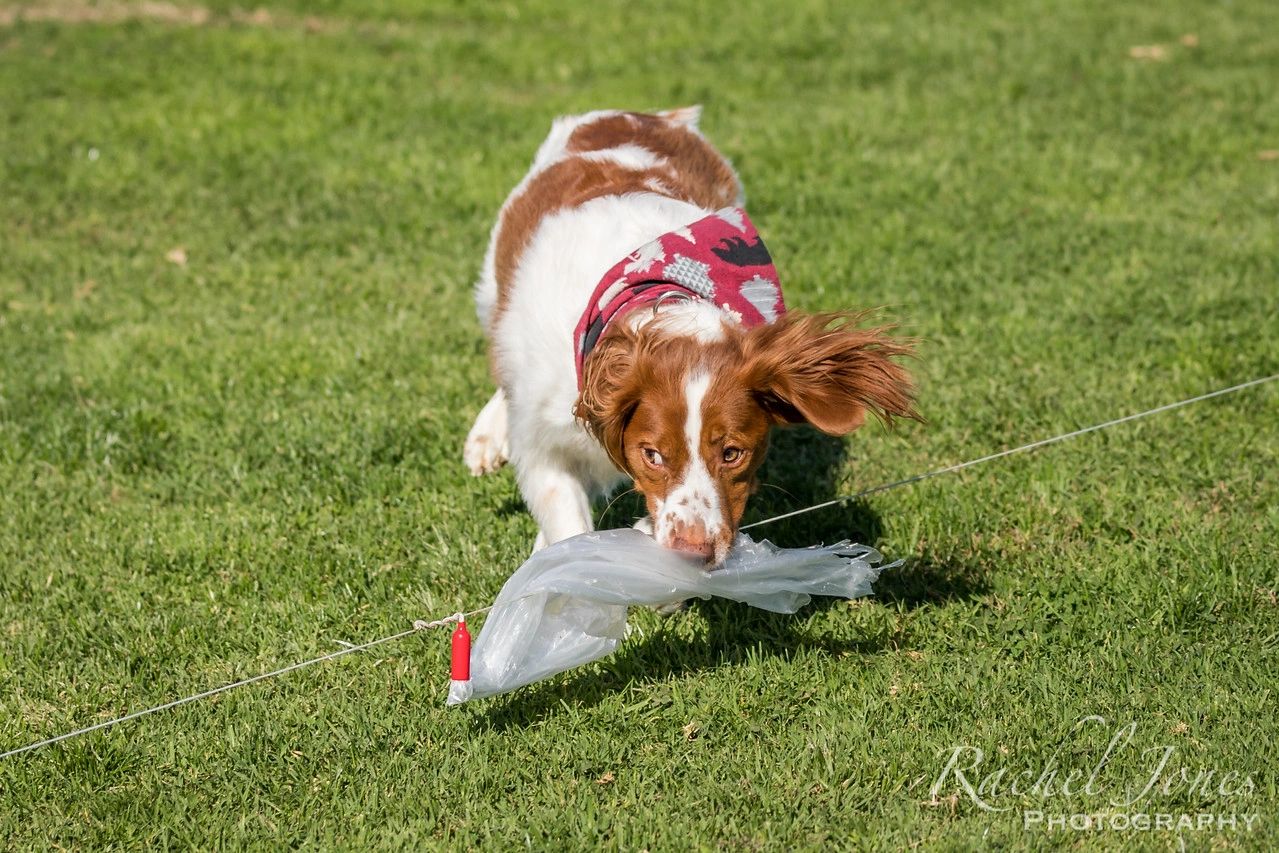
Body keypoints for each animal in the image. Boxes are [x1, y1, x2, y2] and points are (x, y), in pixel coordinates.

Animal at [465, 106, 915, 567]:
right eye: (652, 454)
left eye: (732, 453)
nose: (694, 552)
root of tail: (642, 115)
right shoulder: (542, 438)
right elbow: (565, 510)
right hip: (494, 291)